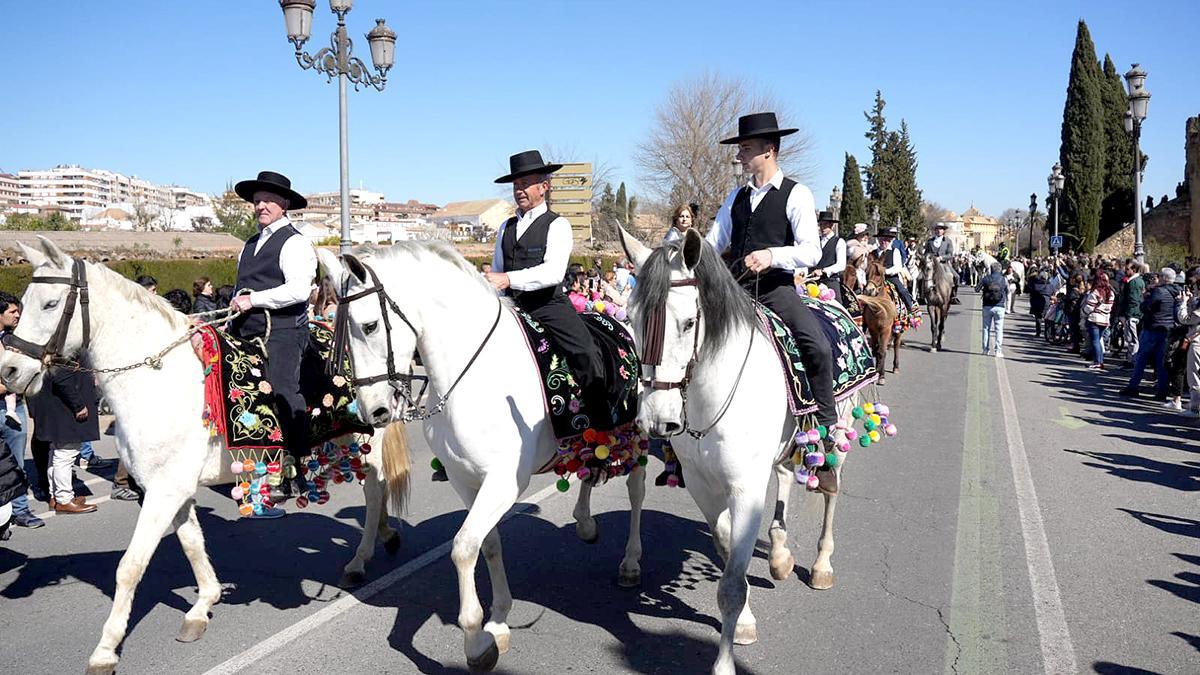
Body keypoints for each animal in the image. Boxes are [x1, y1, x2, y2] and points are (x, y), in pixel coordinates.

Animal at [0, 236, 410, 672]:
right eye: (22, 302)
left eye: (49, 304)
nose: (9, 371)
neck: (159, 379)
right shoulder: (169, 488)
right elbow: (192, 543)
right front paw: (202, 607)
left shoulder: (164, 490)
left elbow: (130, 567)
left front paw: (105, 649)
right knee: (378, 492)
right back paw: (385, 535)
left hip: (371, 442)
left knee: (374, 492)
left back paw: (360, 558)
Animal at [312, 240, 648, 667]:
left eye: (369, 326)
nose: (374, 412)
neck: (474, 375)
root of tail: (619, 321)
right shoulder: (465, 479)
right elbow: (487, 544)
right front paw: (499, 620)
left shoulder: (504, 482)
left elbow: (462, 548)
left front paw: (475, 640)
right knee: (589, 468)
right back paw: (586, 523)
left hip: (636, 438)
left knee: (636, 492)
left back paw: (631, 562)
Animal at [619, 225, 864, 672]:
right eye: (631, 318)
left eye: (689, 322)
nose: (657, 419)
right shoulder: (703, 484)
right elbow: (727, 546)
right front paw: (748, 616)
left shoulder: (746, 488)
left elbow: (731, 582)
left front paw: (724, 662)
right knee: (784, 475)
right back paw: (780, 553)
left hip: (839, 432)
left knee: (832, 490)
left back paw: (821, 564)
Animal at [844, 253, 902, 381]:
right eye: (866, 273)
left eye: (879, 274)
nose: (869, 290)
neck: (880, 308)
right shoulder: (873, 329)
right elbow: (876, 350)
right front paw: (876, 372)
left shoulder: (886, 330)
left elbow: (882, 351)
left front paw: (881, 376)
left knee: (896, 344)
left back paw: (896, 367)